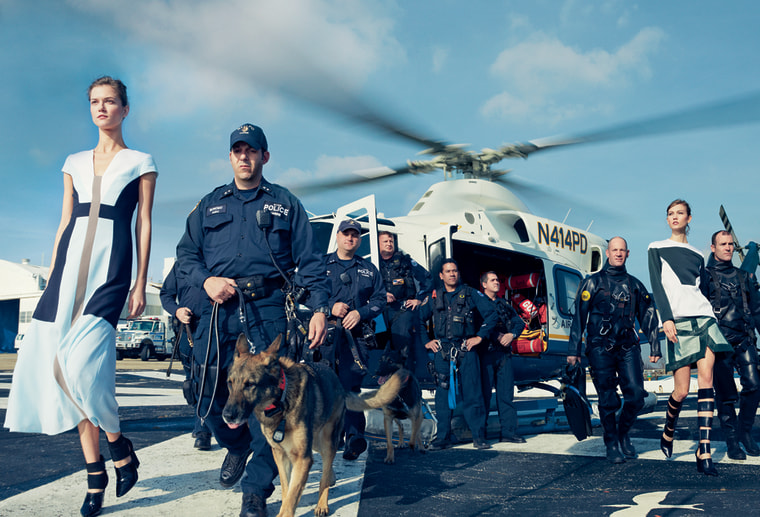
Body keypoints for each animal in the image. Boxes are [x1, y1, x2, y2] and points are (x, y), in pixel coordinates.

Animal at [223, 334, 404, 516]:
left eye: (250, 384)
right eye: (230, 383)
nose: (227, 416)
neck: (281, 401)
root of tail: (338, 382)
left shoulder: (303, 459)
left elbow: (292, 495)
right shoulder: (280, 455)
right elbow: (286, 489)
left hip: (326, 441)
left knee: (325, 474)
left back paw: (322, 504)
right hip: (316, 443)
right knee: (326, 467)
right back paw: (331, 478)